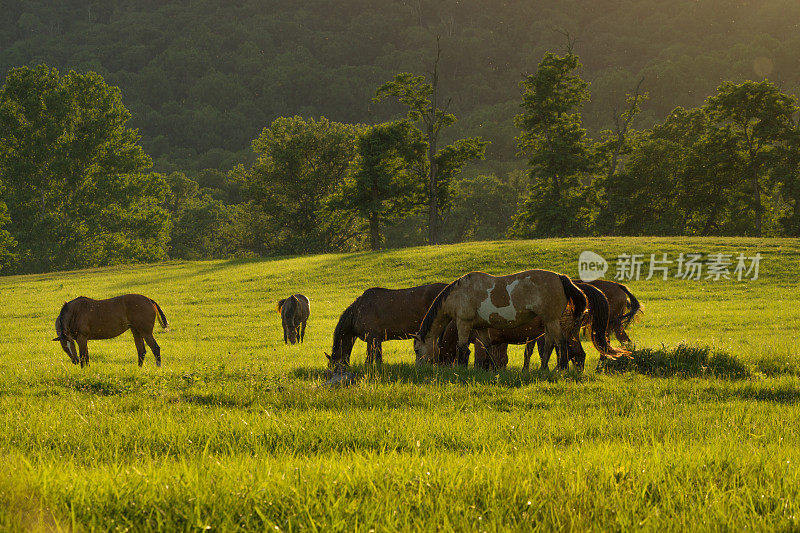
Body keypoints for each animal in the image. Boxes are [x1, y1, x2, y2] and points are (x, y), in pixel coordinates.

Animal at [412, 268, 588, 368]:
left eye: (416, 349)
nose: (419, 368)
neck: (458, 293)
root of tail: (560, 277)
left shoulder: (463, 323)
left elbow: (462, 348)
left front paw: (460, 369)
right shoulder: (481, 327)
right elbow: (488, 347)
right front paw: (494, 368)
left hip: (552, 320)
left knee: (561, 343)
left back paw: (562, 369)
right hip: (548, 322)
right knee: (549, 345)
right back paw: (543, 369)